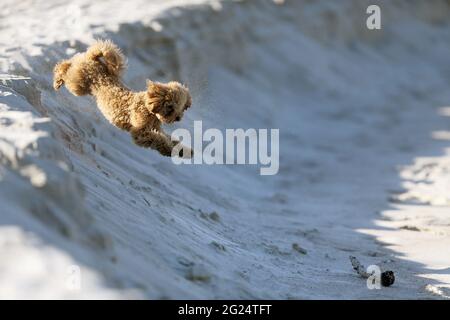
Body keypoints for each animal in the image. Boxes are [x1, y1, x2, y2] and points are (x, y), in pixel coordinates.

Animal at [53, 40, 192, 158]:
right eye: (170, 107)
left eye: (182, 108)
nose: (178, 118)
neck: (148, 109)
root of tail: (94, 59)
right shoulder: (141, 133)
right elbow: (158, 140)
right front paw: (168, 149)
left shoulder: (157, 129)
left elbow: (170, 139)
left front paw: (185, 151)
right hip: (77, 84)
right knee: (65, 66)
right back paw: (57, 80)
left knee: (72, 61)